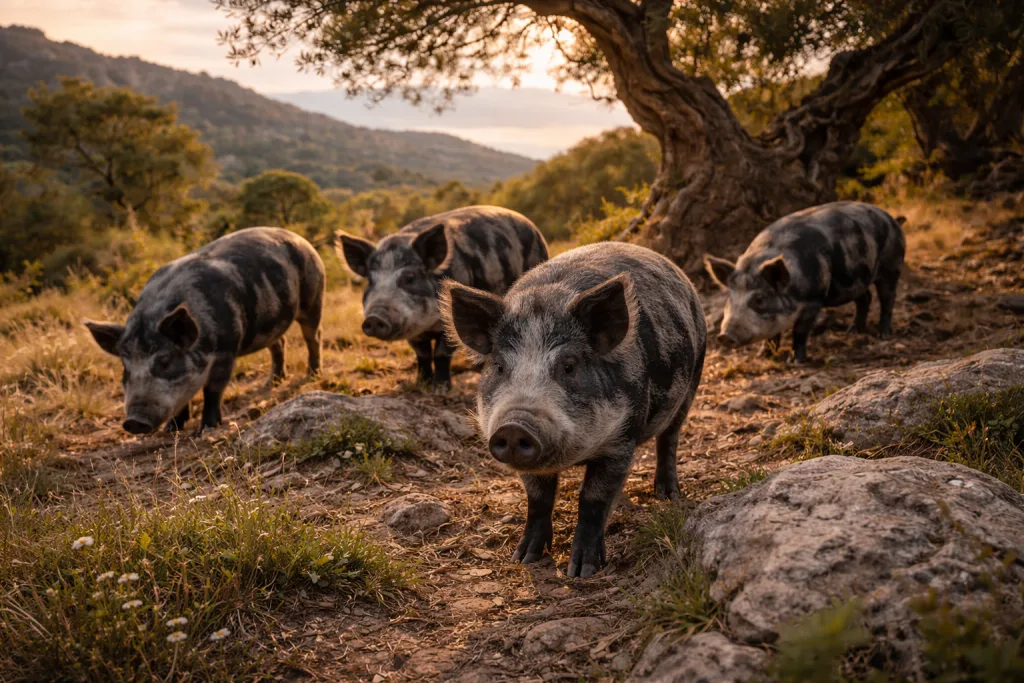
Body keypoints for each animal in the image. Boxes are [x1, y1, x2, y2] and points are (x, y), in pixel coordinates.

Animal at [84, 227, 325, 435]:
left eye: (165, 362)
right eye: (125, 367)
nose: (134, 421)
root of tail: (302, 240)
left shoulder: (226, 349)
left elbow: (213, 390)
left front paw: (206, 428)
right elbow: (182, 401)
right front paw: (171, 429)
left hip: (313, 299)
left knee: (313, 337)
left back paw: (312, 374)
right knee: (279, 343)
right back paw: (272, 382)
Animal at [337, 206, 548, 392]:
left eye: (409, 278)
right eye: (370, 281)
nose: (374, 318)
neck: (428, 326)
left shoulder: (448, 323)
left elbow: (440, 354)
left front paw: (441, 389)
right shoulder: (414, 330)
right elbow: (422, 355)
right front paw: (420, 384)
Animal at [440, 242, 706, 578]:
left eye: (569, 366)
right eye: (499, 366)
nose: (514, 426)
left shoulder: (622, 440)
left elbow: (592, 498)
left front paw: (582, 571)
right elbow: (538, 498)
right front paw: (524, 558)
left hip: (693, 381)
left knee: (669, 439)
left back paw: (668, 496)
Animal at [704, 201, 906, 363]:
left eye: (759, 299)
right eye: (730, 298)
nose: (724, 336)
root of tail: (891, 218)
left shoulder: (813, 300)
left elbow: (799, 331)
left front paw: (795, 361)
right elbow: (771, 336)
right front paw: (763, 356)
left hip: (891, 266)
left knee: (888, 298)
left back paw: (883, 334)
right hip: (856, 280)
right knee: (865, 297)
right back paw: (852, 331)